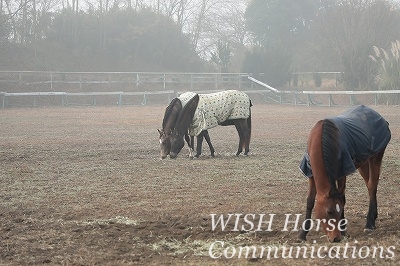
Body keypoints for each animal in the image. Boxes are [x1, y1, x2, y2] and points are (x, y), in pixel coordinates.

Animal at [300, 105, 390, 242]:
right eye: (329, 211)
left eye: (339, 210)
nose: (336, 238)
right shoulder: (311, 173)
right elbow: (310, 201)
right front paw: (302, 235)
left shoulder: (342, 172)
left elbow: (342, 197)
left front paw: (343, 231)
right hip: (363, 163)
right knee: (369, 186)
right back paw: (373, 218)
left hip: (376, 157)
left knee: (373, 186)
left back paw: (369, 223)